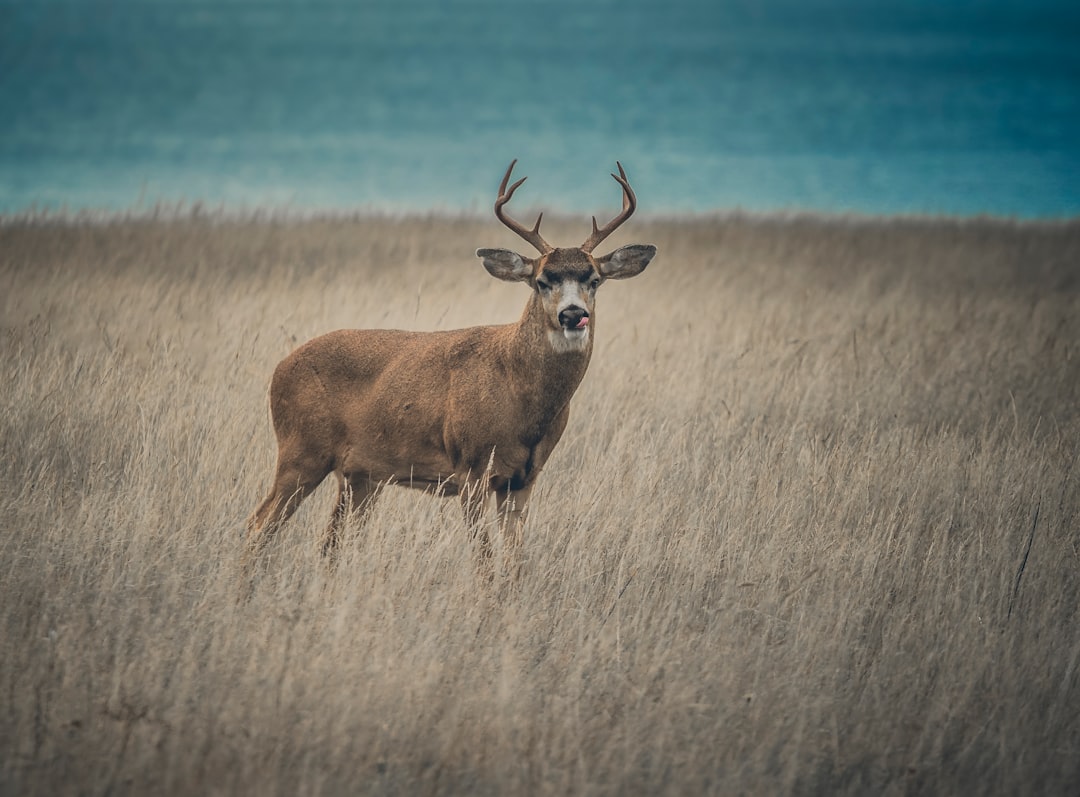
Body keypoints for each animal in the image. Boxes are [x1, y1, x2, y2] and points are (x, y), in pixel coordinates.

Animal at [244, 160, 656, 575]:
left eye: (595, 280)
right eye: (541, 281)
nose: (572, 314)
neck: (518, 392)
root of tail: (279, 369)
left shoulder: (524, 478)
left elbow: (514, 562)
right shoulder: (471, 468)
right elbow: (485, 562)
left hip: (359, 475)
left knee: (328, 541)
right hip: (301, 450)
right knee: (258, 523)